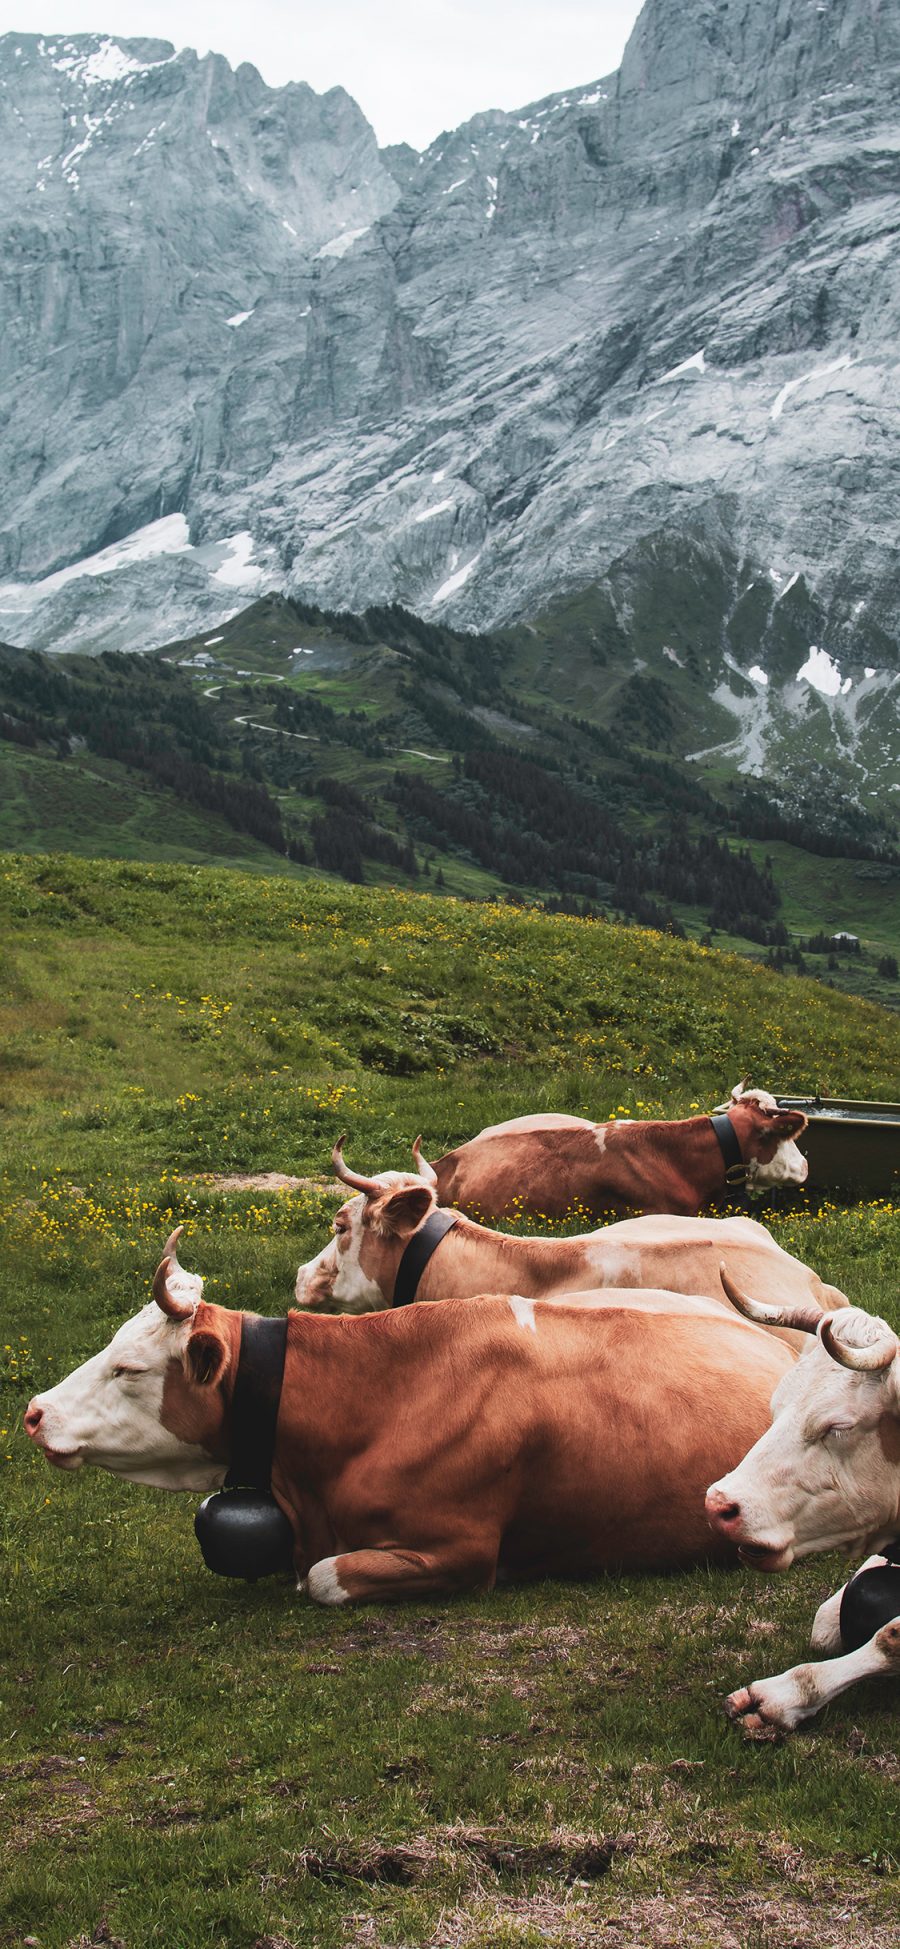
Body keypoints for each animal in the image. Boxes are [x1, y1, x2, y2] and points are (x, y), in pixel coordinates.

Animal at [701, 1270, 900, 1746]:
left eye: (838, 1426)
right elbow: (826, 1624)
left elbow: (890, 1636)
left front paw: (780, 1696)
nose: (719, 1505)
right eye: (776, 1405)